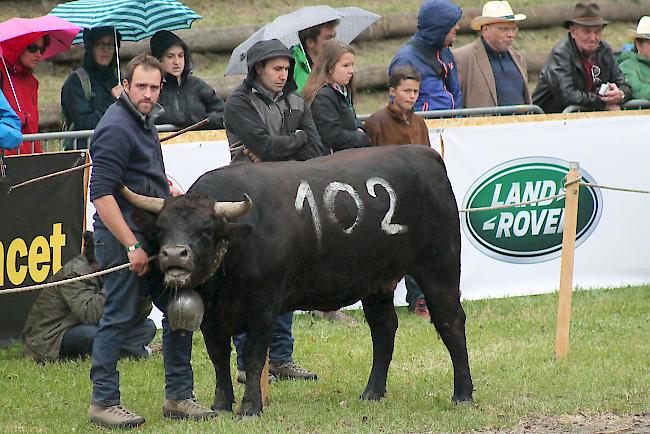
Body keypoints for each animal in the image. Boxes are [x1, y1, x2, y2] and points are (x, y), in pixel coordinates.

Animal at [125, 145, 470, 414]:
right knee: (383, 329)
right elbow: (219, 358)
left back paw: (462, 394)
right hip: (377, 281)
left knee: (450, 322)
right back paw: (372, 392)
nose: (174, 254)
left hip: (439, 268)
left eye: (206, 230)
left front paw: (251, 407)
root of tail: (424, 154)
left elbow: (253, 357)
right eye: (161, 229)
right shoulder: (211, 318)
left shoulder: (263, 308)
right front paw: (221, 406)